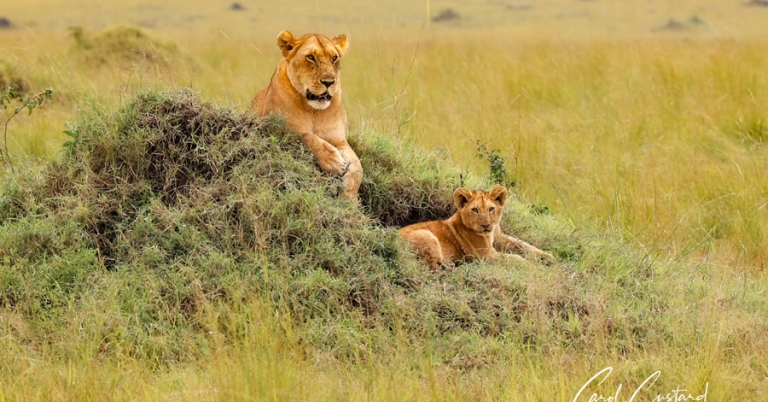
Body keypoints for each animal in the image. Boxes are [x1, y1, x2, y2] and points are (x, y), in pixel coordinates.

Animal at [251, 30, 362, 200]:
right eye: (311, 57)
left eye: (334, 58)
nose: (329, 82)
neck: (314, 111)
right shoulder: (274, 126)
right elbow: (306, 135)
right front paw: (333, 161)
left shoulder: (340, 141)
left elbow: (358, 169)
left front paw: (349, 198)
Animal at [399, 186, 554, 270]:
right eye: (475, 210)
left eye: (491, 209)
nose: (486, 225)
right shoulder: (486, 255)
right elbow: (514, 258)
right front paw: (532, 266)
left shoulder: (499, 236)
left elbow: (523, 245)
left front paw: (547, 256)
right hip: (428, 236)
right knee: (434, 268)